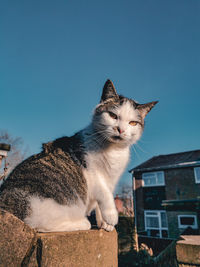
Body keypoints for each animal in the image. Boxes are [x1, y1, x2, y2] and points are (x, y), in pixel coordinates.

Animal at [0, 80, 158, 233]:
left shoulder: (112, 178)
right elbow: (105, 194)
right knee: (39, 226)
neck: (113, 150)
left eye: (133, 123)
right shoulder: (92, 171)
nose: (121, 129)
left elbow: (104, 197)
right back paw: (82, 223)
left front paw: (104, 224)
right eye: (113, 116)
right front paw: (111, 216)